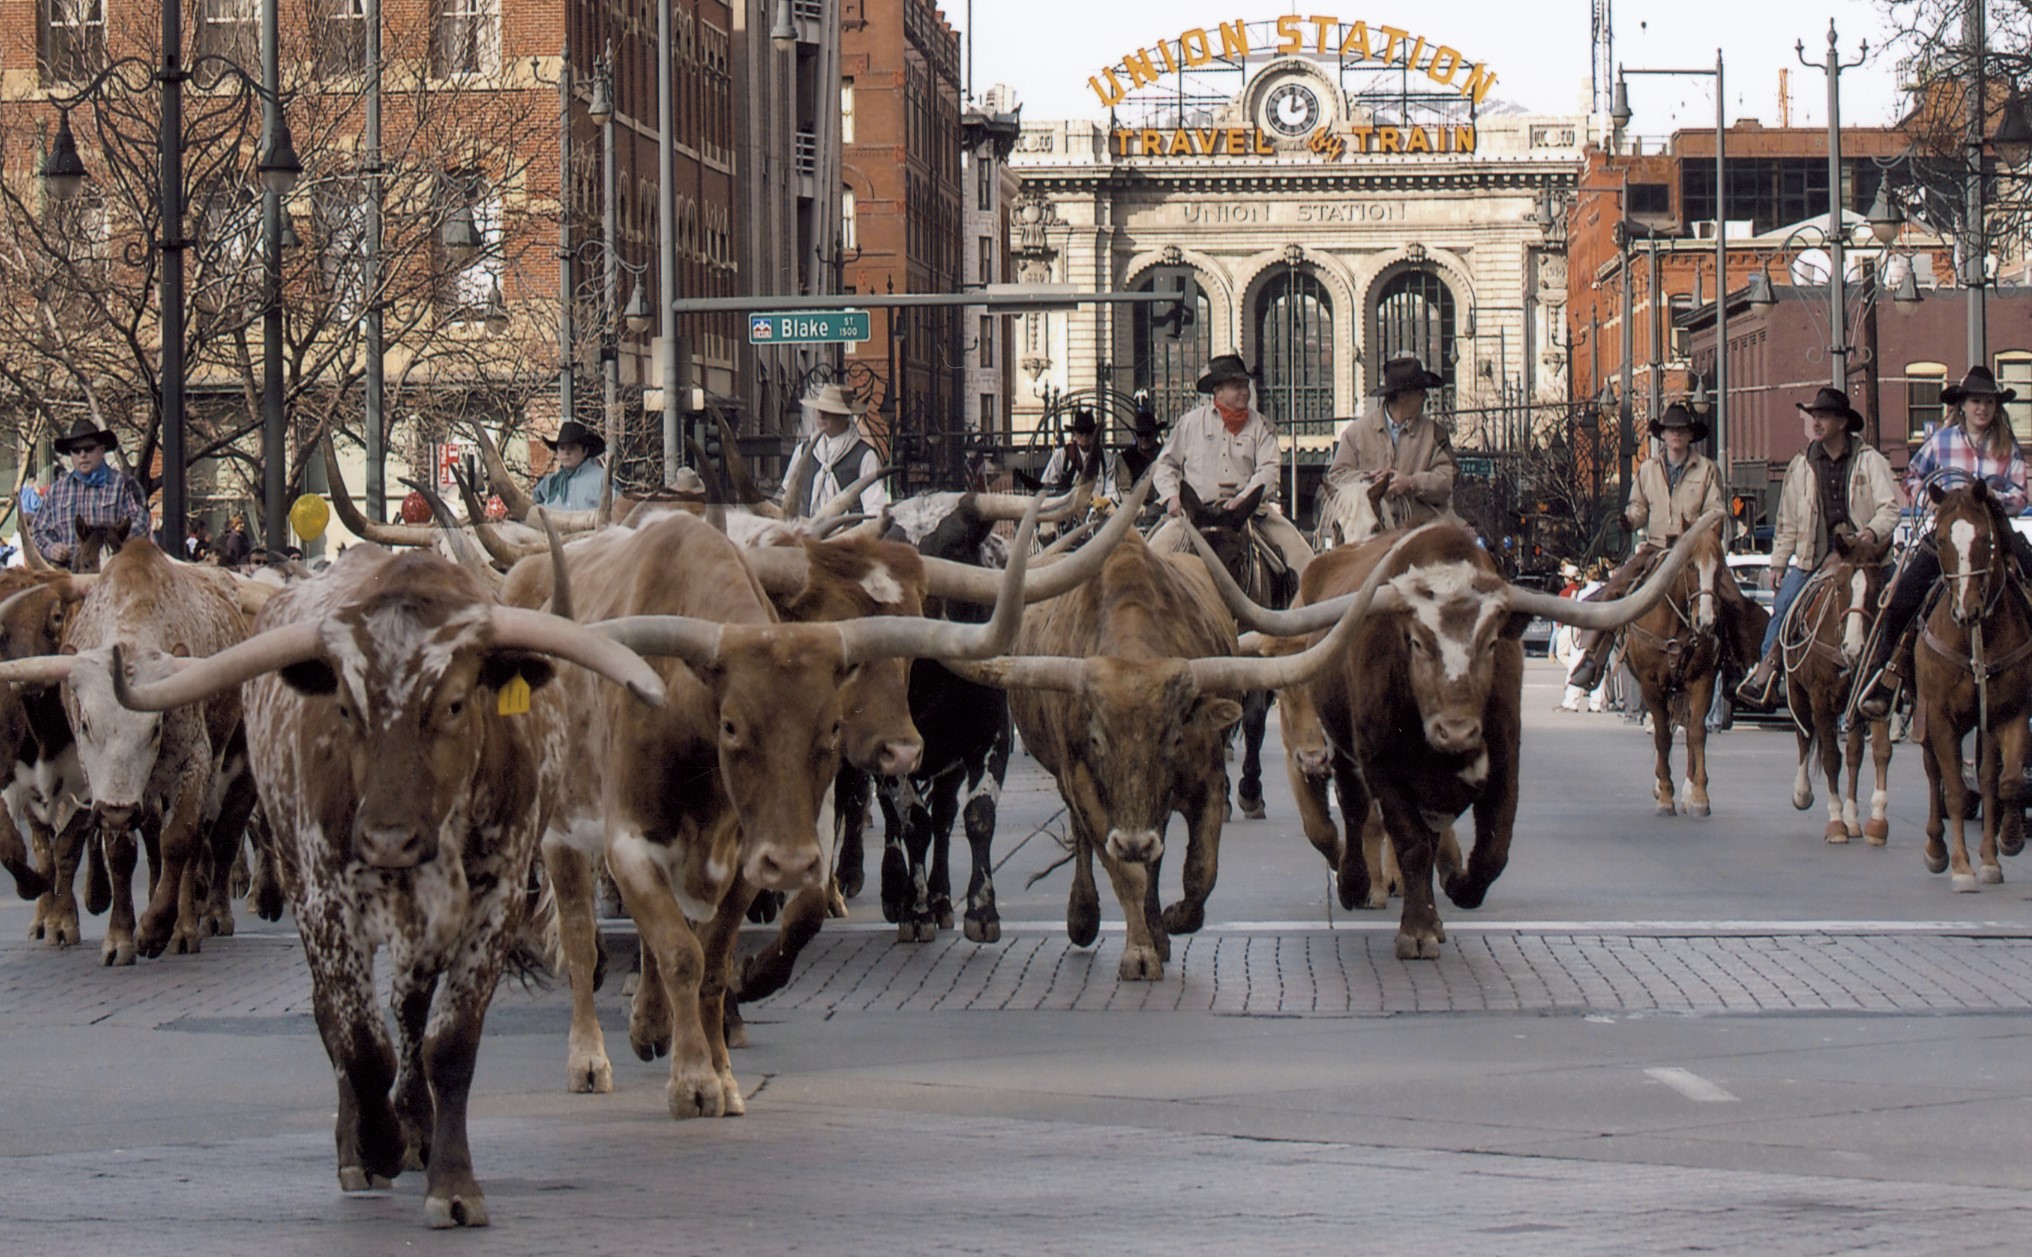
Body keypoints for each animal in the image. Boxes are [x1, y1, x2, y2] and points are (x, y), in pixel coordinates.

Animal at [1617, 527, 1747, 816]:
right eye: (1689, 565)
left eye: (1721, 567)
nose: (1706, 621)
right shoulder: (1650, 684)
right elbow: (1663, 736)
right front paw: (1665, 794)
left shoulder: (1703, 680)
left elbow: (1696, 733)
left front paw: (1698, 795)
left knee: (1687, 728)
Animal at [1788, 532, 1893, 844]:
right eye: (1840, 587)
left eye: (1877, 588)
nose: (1854, 648)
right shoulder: (1820, 700)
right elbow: (1831, 758)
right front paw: (1836, 822)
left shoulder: (1874, 697)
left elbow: (1879, 751)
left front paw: (1876, 820)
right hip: (1798, 694)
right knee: (1804, 736)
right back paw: (1803, 793)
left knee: (1855, 753)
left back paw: (1853, 817)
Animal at [1910, 477, 2023, 889]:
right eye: (1942, 539)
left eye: (1985, 539)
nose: (1967, 609)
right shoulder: (1941, 717)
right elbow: (1955, 791)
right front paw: (1960, 867)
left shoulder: (2010, 713)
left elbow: (2007, 782)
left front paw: (2007, 843)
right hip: (1926, 717)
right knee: (1934, 772)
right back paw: (1935, 850)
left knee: (1987, 780)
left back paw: (1989, 856)